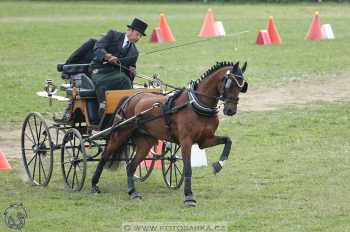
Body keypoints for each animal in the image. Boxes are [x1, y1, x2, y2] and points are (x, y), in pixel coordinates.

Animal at [91, 61, 247, 207]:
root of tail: (130, 97)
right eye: (229, 83)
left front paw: (218, 165)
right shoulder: (186, 142)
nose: (230, 110)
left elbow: (228, 141)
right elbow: (188, 168)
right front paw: (189, 196)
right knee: (105, 156)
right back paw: (94, 185)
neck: (196, 104)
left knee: (131, 166)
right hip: (120, 134)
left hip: (145, 142)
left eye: (242, 86)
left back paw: (133, 192)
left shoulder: (205, 140)